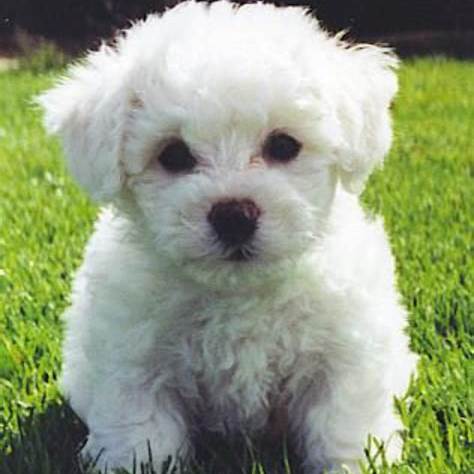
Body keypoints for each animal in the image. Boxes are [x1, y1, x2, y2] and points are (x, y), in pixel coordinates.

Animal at [41, 1, 418, 472]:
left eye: (283, 145)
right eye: (173, 155)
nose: (234, 215)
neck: (240, 293)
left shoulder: (344, 353)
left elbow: (343, 425)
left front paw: (353, 462)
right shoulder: (133, 360)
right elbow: (142, 432)